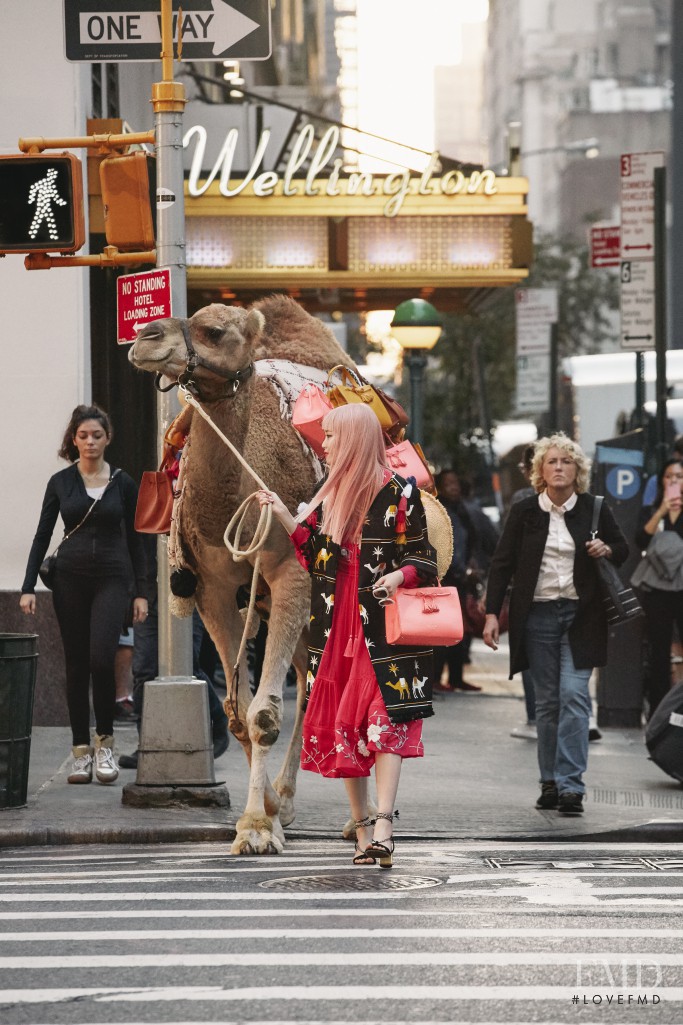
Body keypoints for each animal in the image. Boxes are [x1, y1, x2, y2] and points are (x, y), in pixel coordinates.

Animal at [127, 293, 352, 852]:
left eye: (215, 331)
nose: (145, 337)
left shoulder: (291, 573)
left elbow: (265, 715)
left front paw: (255, 828)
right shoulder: (212, 588)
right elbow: (238, 715)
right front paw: (266, 813)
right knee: (305, 675)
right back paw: (288, 800)